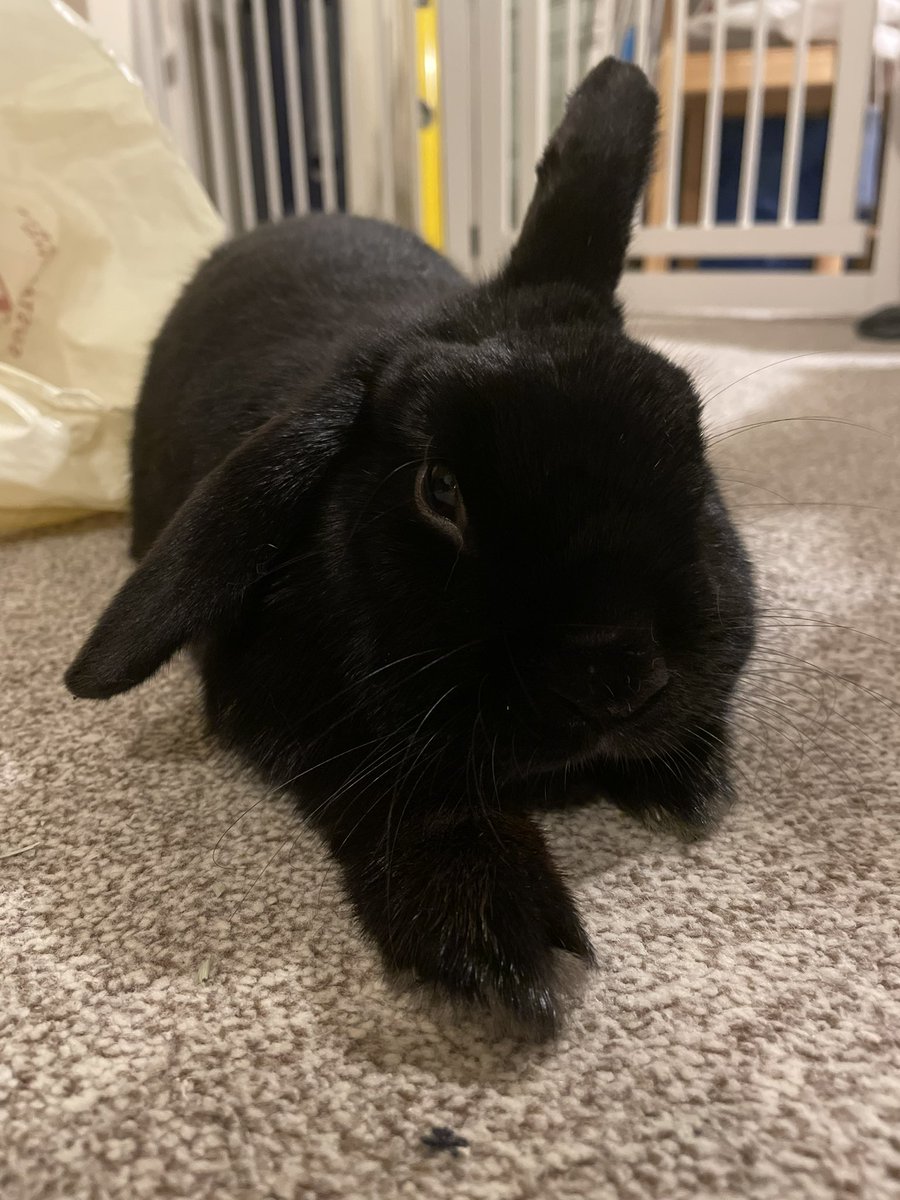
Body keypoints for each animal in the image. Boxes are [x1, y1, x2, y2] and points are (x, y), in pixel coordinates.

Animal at [65, 60, 753, 1036]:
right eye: (439, 492)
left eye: (691, 438)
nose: (623, 673)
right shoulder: (286, 709)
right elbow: (402, 785)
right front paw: (497, 937)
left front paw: (687, 774)